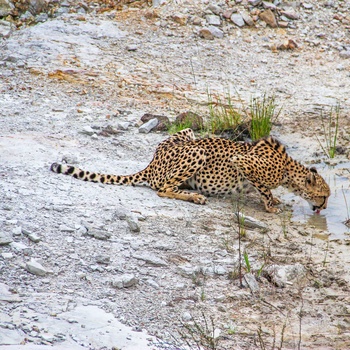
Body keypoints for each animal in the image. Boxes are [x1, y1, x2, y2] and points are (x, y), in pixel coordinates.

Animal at [50, 129, 330, 213]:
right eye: (325, 195)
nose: (324, 207)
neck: (288, 170)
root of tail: (151, 162)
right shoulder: (243, 161)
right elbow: (264, 189)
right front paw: (271, 205)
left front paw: (276, 200)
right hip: (198, 151)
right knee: (163, 189)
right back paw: (195, 196)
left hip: (189, 134)